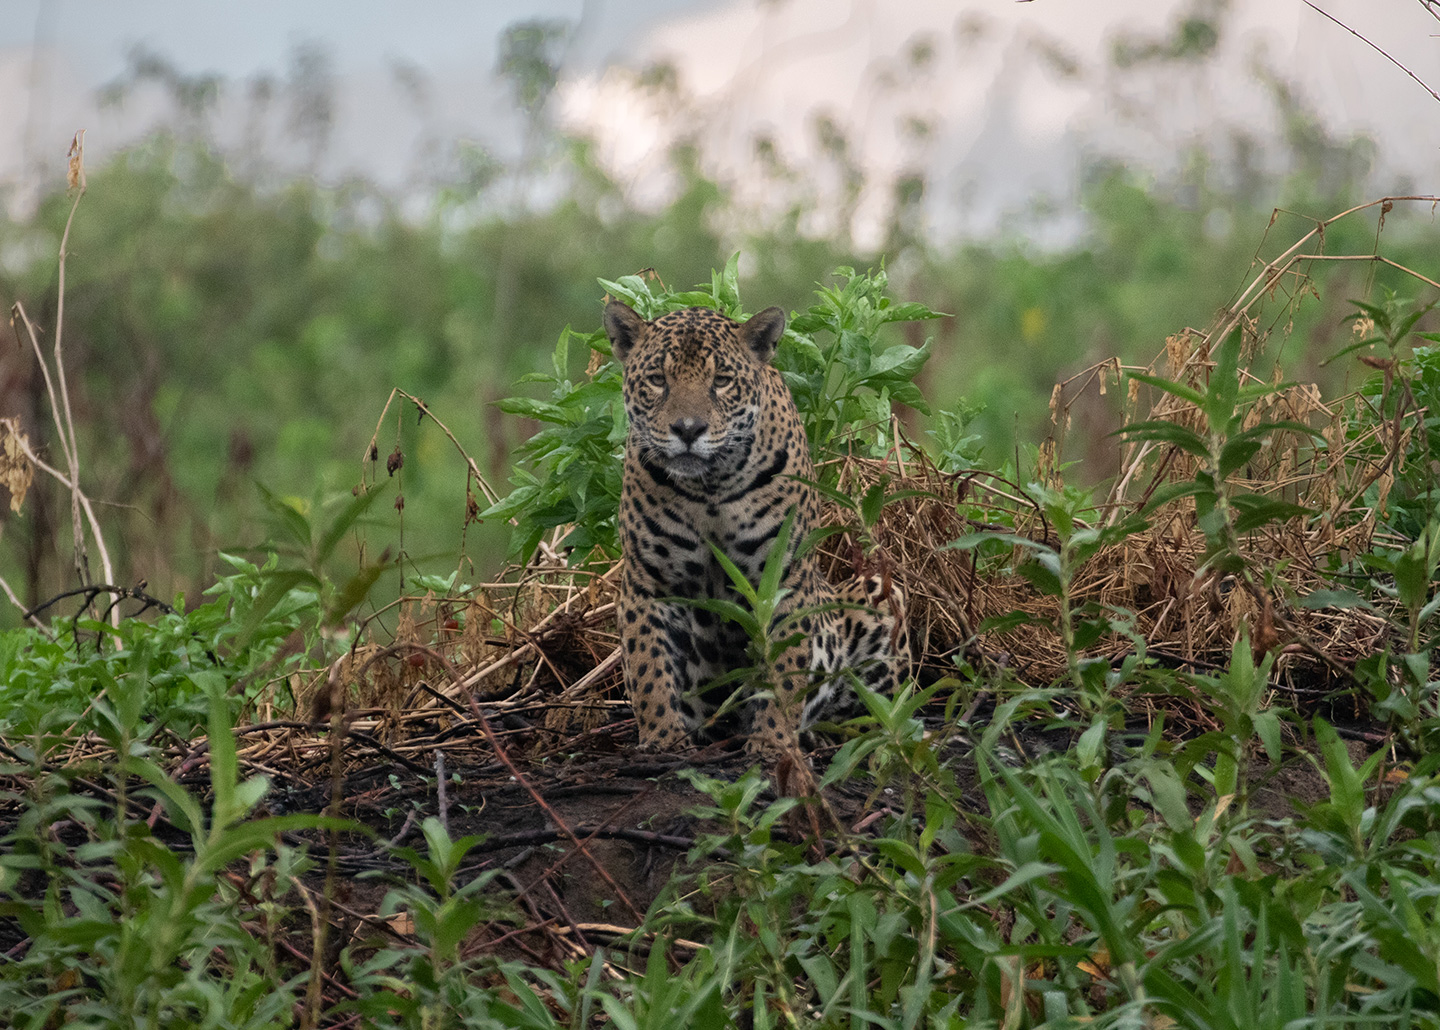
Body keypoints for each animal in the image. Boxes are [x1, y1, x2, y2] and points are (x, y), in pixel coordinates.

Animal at [604, 299, 907, 754]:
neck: (710, 486)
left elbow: (785, 672)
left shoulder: (785, 580)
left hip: (880, 596)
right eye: (657, 380)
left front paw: (773, 742)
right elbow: (649, 668)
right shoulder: (648, 582)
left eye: (722, 381)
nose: (688, 429)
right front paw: (663, 738)